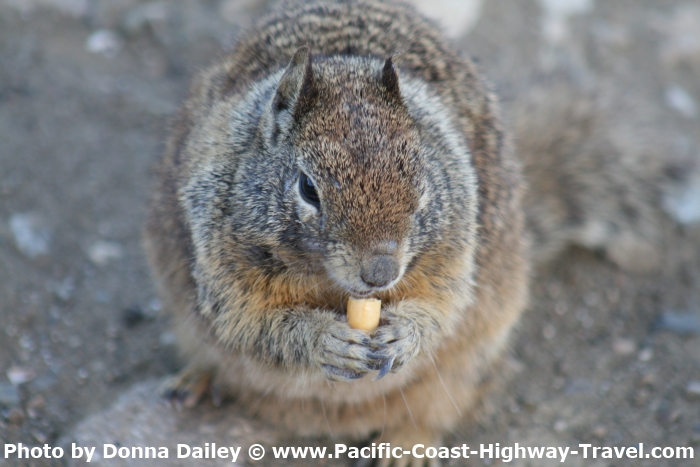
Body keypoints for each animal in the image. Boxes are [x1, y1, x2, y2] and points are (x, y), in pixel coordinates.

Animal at [144, 0, 677, 463]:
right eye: (308, 188)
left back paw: (404, 448)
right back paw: (194, 379)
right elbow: (251, 325)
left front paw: (406, 334)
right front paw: (324, 341)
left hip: (472, 359)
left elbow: (444, 306)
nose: (381, 272)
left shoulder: (456, 249)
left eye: (420, 179)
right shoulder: (219, 263)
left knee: (437, 412)